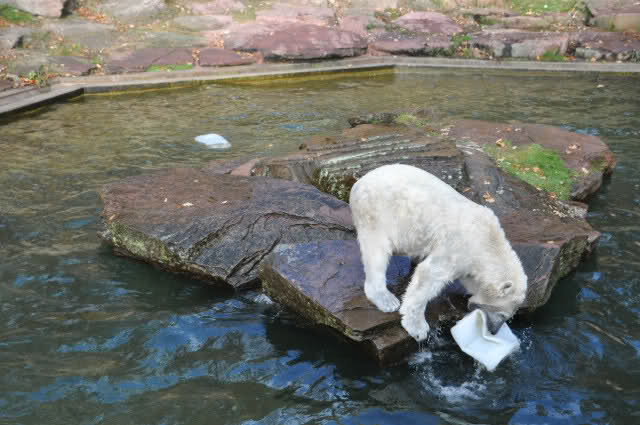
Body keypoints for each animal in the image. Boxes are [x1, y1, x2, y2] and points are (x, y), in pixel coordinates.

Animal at [349, 163, 527, 342]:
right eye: (502, 314)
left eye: (509, 317)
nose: (493, 331)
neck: (488, 241)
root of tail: (358, 183)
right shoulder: (458, 248)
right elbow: (428, 276)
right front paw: (418, 328)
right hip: (376, 212)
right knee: (377, 253)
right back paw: (386, 299)